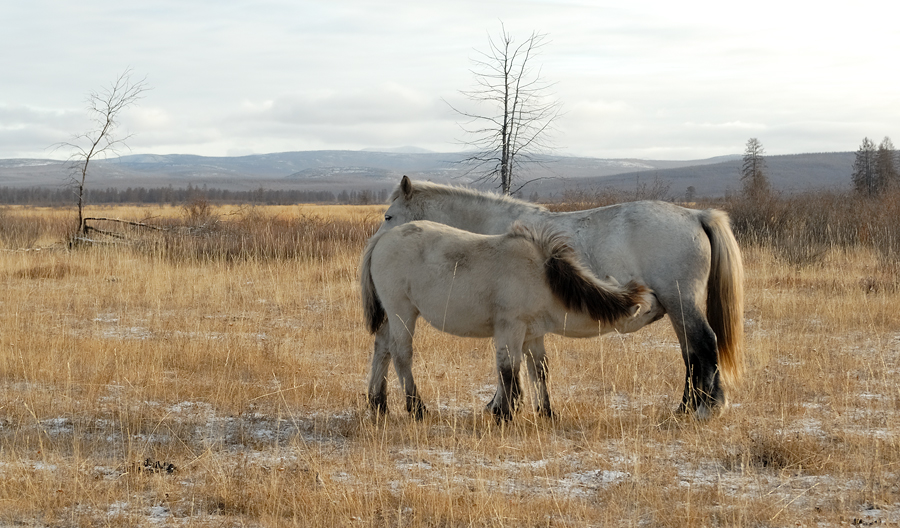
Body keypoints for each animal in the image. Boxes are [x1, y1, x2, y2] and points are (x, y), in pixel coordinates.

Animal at [360, 219, 652, 420]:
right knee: (401, 354)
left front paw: (545, 411)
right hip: (402, 311)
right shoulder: (510, 328)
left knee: (382, 349)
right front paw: (506, 412)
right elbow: (509, 368)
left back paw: (378, 403)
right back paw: (416, 407)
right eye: (648, 311)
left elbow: (537, 369)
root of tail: (383, 237)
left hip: (389, 316)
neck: (544, 277)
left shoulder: (533, 334)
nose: (659, 309)